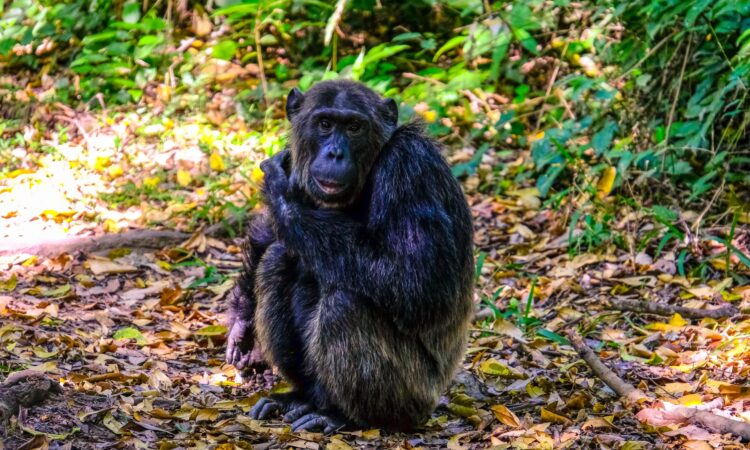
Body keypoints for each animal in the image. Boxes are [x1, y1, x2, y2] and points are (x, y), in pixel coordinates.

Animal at [225, 80, 474, 433]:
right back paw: (299, 399)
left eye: (354, 127)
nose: (335, 152)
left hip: (415, 397)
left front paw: (280, 190)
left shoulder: (410, 168)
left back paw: (342, 416)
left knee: (345, 305)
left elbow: (419, 282)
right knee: (277, 260)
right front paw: (242, 324)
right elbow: (269, 235)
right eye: (325, 124)